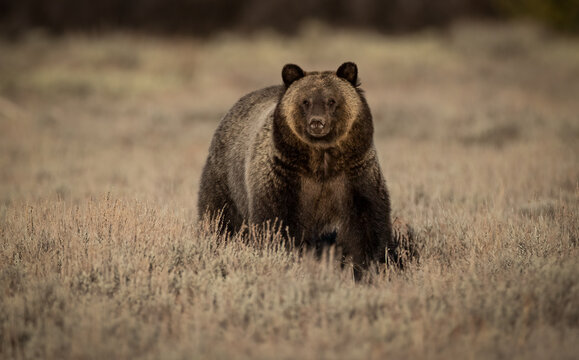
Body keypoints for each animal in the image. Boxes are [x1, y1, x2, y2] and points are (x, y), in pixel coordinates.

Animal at [197, 62, 402, 270]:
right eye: (306, 101)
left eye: (331, 100)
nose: (317, 123)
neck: (321, 160)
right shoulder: (285, 174)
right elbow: (276, 221)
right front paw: (283, 254)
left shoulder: (354, 172)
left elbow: (366, 221)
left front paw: (369, 264)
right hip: (226, 177)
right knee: (220, 214)